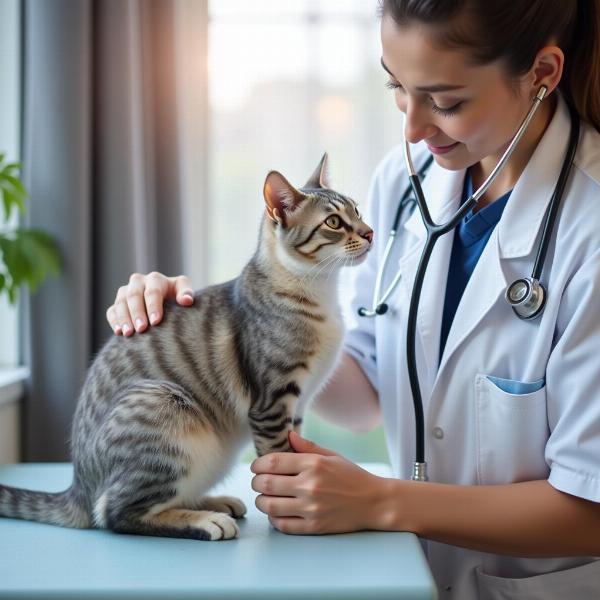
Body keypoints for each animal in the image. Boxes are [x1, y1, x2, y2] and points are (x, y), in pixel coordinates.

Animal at [0, 154, 372, 540]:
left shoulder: (298, 405)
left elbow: (292, 454)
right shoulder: (271, 401)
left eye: (357, 210)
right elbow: (277, 457)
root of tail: (78, 485)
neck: (320, 294)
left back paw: (213, 503)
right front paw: (287, 512)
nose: (369, 232)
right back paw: (205, 521)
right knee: (115, 512)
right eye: (333, 222)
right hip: (164, 413)